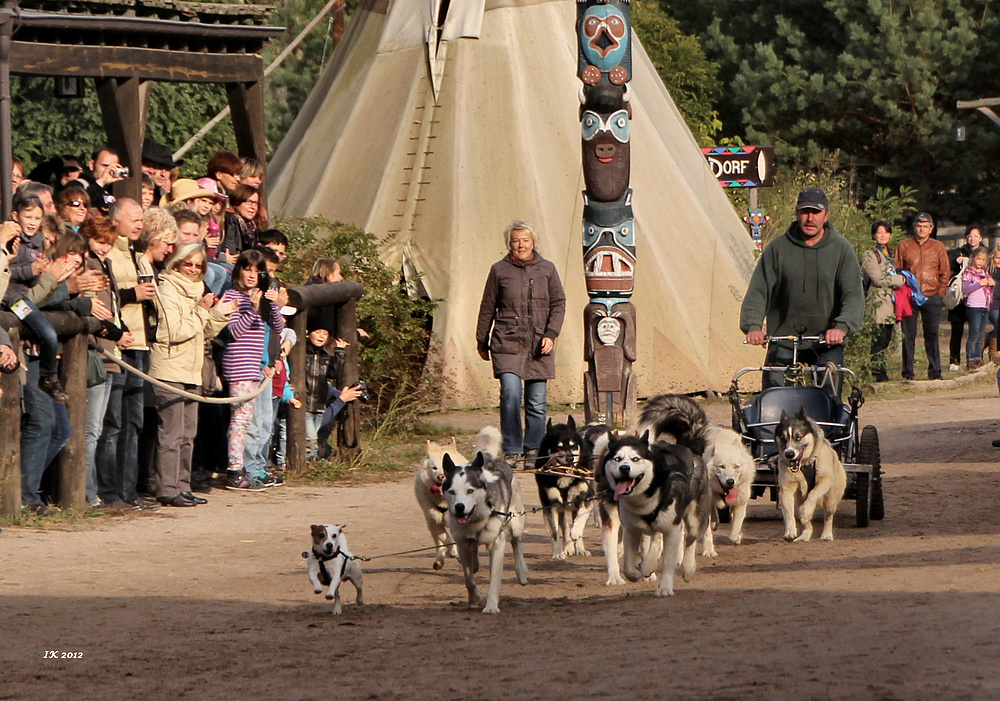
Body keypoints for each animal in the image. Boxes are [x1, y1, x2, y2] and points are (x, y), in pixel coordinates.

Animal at [700, 424, 752, 556]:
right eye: (721, 467)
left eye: (736, 467)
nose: (730, 481)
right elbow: (707, 532)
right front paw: (709, 550)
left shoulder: (740, 504)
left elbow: (734, 532)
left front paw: (738, 536)